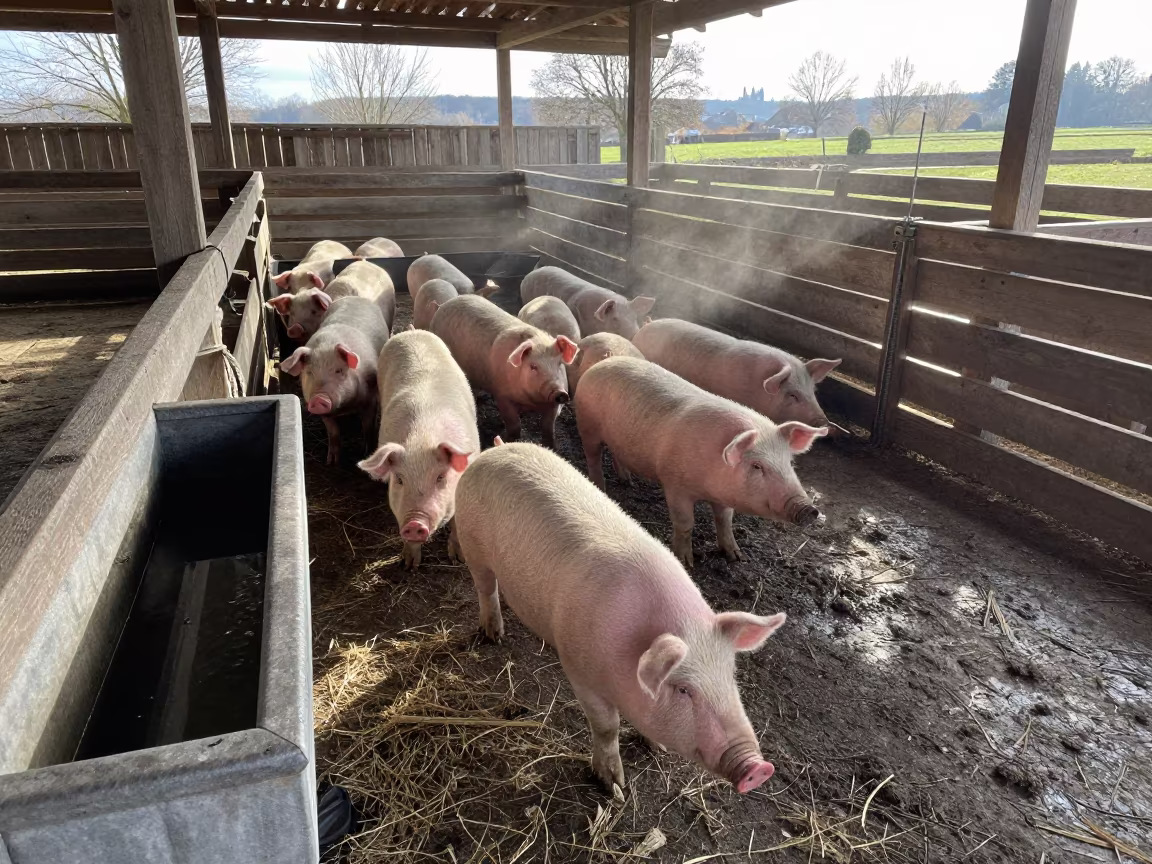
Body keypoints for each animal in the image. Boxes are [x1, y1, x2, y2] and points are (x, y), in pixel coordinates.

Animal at [279, 295, 391, 466]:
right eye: (309, 372)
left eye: (339, 371)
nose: (319, 398)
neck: (345, 407)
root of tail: (355, 297)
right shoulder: (325, 415)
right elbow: (333, 433)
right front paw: (331, 462)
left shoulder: (370, 400)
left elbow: (368, 428)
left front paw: (365, 453)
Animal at [358, 330, 480, 570]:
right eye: (399, 479)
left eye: (441, 477)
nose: (415, 522)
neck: (423, 438)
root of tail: (411, 330)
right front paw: (408, 565)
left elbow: (457, 526)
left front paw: (458, 559)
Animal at [430, 294, 576, 449]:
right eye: (533, 366)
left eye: (559, 364)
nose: (559, 392)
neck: (532, 402)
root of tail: (443, 305)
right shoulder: (502, 395)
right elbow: (514, 424)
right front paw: (506, 439)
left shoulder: (553, 406)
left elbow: (548, 429)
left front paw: (551, 447)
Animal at [454, 441, 786, 794]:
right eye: (683, 689)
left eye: (730, 676)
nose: (759, 768)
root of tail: (496, 449)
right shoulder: (580, 670)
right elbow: (607, 727)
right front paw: (613, 786)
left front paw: (658, 748)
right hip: (471, 543)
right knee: (486, 588)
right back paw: (493, 634)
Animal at [575, 356, 826, 567]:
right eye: (757, 466)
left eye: (790, 464)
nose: (809, 509)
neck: (709, 487)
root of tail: (599, 364)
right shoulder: (675, 485)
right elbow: (685, 523)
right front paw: (686, 563)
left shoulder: (724, 497)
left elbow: (724, 521)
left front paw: (736, 556)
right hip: (587, 426)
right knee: (593, 457)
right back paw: (601, 487)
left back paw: (628, 481)